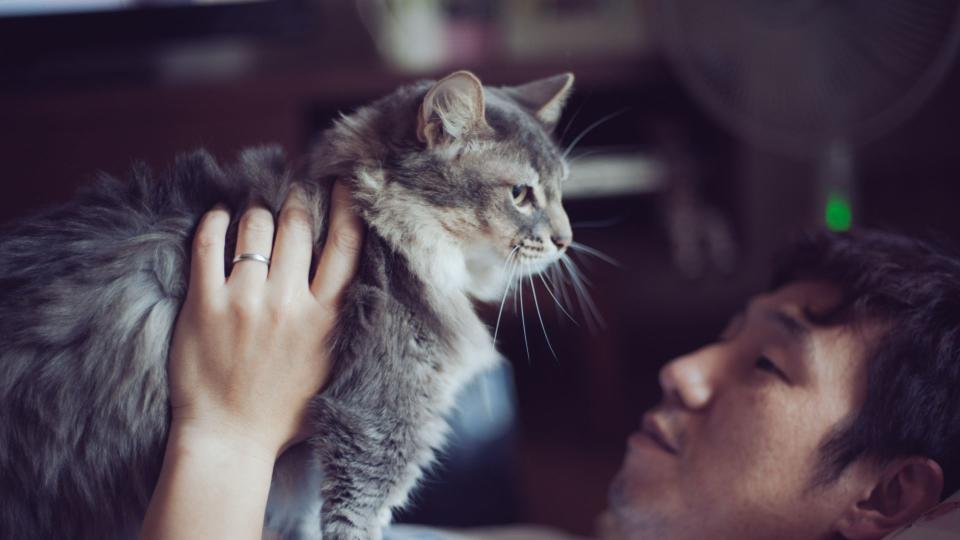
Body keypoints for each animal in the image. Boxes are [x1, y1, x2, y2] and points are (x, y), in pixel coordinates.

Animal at [0, 69, 568, 536]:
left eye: (562, 189)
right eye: (520, 194)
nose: (565, 239)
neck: (384, 231)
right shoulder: (377, 427)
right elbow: (351, 523)